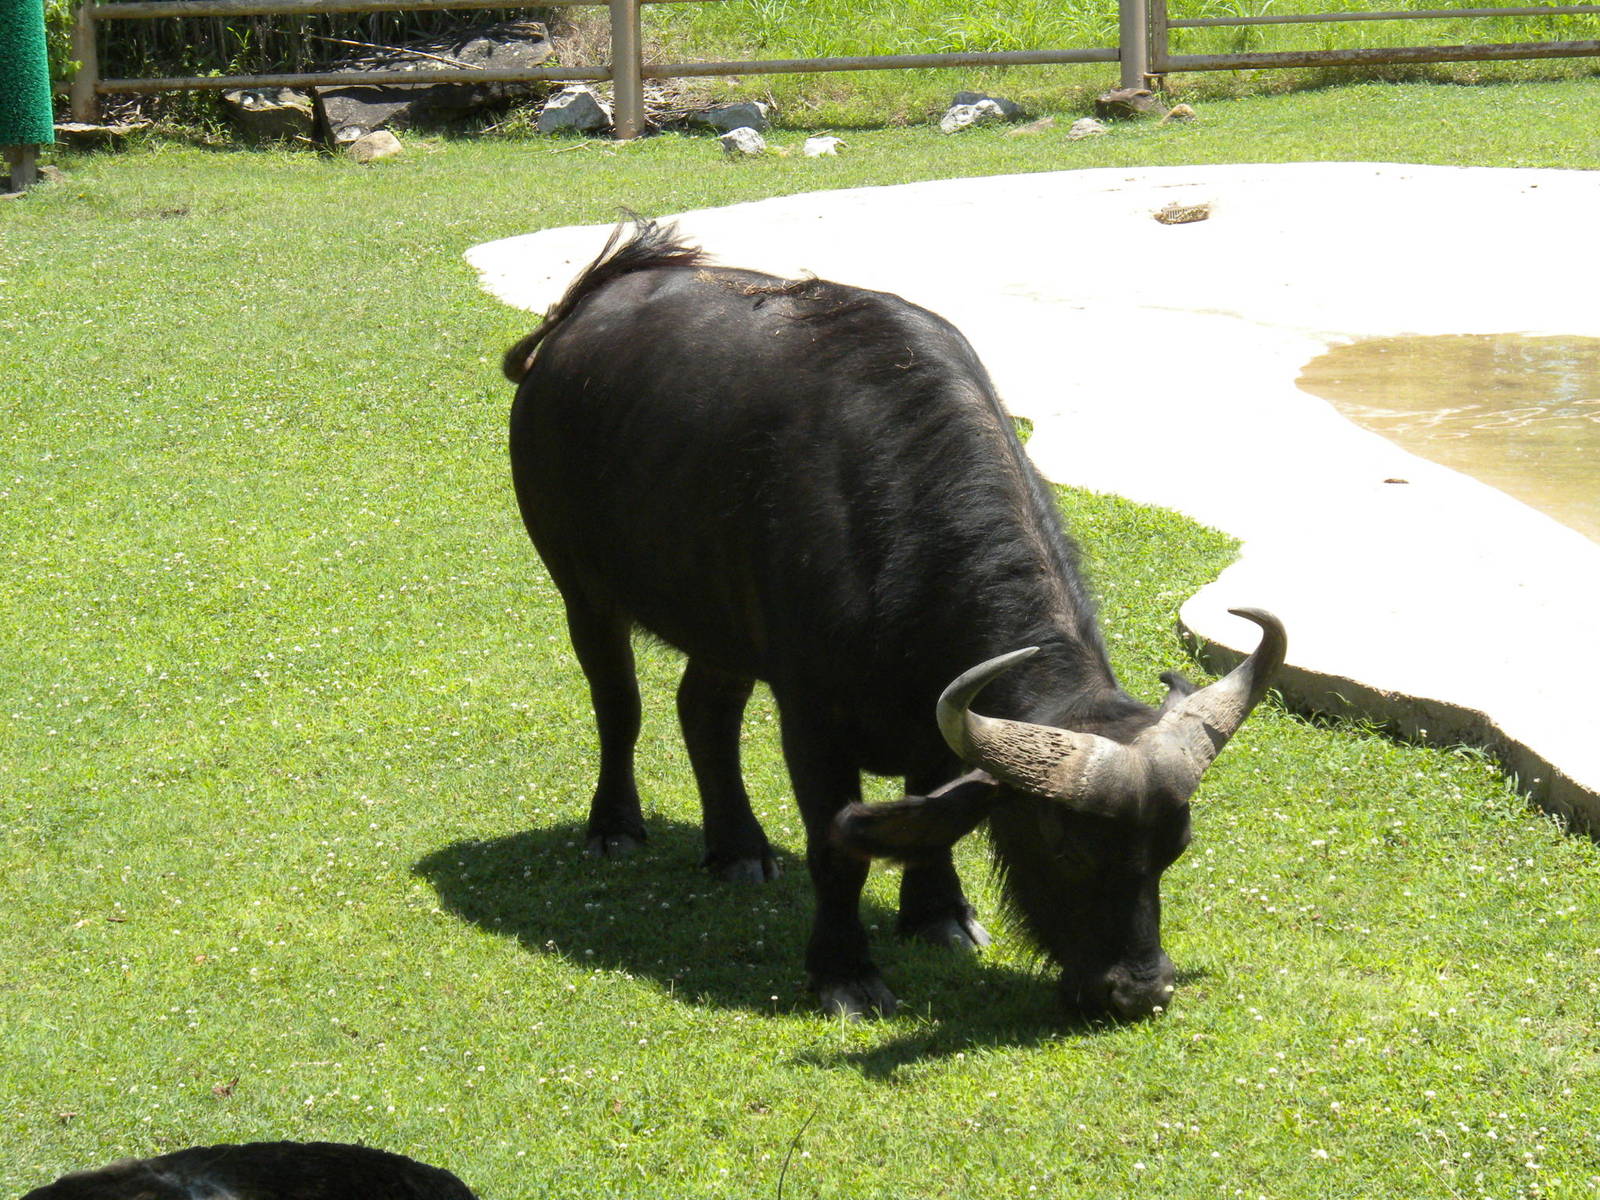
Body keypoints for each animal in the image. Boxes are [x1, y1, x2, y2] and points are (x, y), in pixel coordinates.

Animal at [504, 218, 1284, 1019]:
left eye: (1174, 846)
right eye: (1065, 844)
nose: (1140, 989)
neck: (893, 533)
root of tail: (575, 318)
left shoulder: (938, 725)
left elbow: (929, 828)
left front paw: (938, 917)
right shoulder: (811, 722)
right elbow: (836, 850)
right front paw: (844, 971)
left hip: (721, 625)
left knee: (704, 711)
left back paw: (739, 849)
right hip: (581, 589)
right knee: (618, 706)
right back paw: (615, 827)